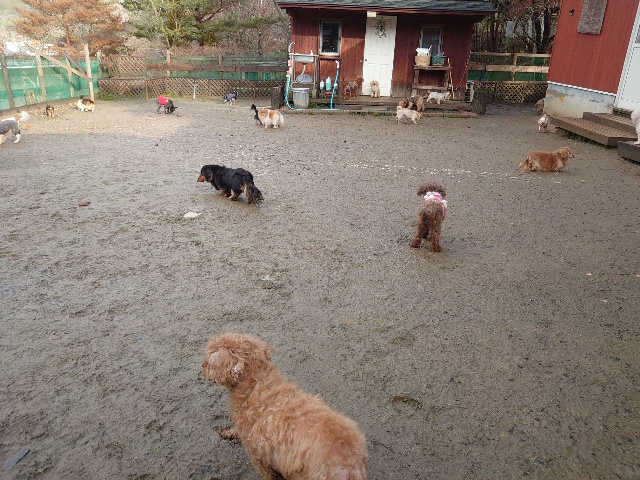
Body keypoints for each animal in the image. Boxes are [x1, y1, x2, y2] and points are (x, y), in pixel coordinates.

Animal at [202, 333, 368, 480]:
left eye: (210, 357)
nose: (202, 367)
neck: (256, 385)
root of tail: (350, 464)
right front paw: (228, 433)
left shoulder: (258, 456)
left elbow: (268, 475)